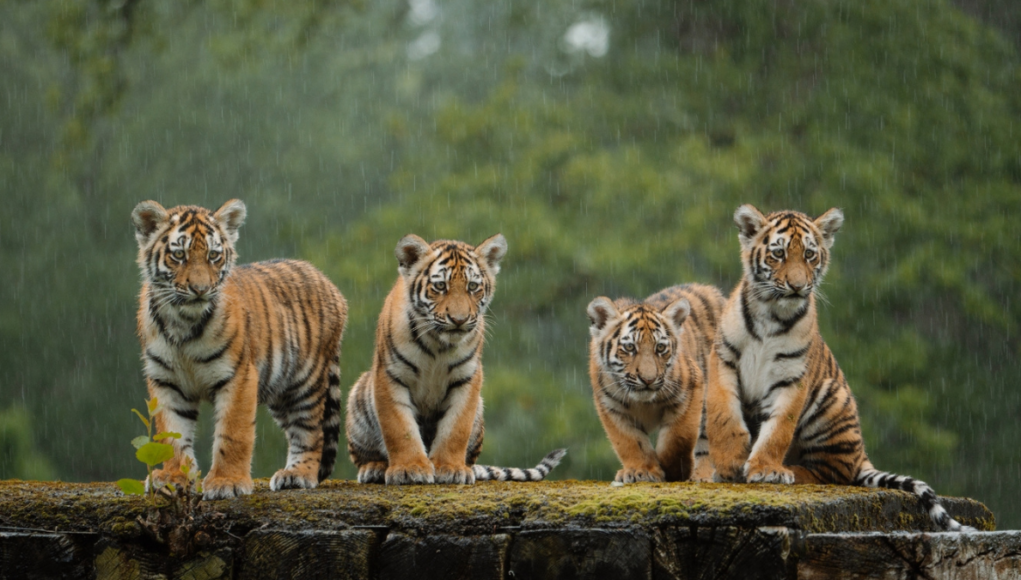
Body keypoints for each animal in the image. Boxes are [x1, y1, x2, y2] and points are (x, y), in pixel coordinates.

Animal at [131, 199, 348, 500]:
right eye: (179, 255)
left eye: (213, 255)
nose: (200, 289)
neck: (182, 322)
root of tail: (328, 283)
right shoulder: (165, 381)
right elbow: (171, 434)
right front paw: (173, 479)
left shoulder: (238, 376)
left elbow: (232, 433)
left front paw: (227, 482)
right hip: (280, 391)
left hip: (305, 383)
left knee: (310, 432)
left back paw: (298, 475)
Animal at [345, 234, 566, 485]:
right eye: (440, 286)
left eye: (473, 287)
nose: (459, 320)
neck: (437, 344)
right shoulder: (390, 374)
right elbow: (400, 428)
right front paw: (410, 469)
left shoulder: (468, 377)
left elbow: (456, 428)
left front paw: (450, 468)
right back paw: (374, 468)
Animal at [587, 284, 724, 484]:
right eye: (629, 347)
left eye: (660, 348)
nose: (648, 379)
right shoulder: (610, 406)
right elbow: (630, 441)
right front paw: (640, 471)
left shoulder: (691, 389)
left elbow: (677, 438)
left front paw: (676, 471)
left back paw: (704, 476)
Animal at [705, 204, 973, 531]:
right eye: (778, 254)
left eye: (809, 254)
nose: (797, 286)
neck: (771, 312)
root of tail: (862, 455)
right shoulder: (724, 361)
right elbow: (724, 417)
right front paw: (729, 466)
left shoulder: (793, 377)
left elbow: (778, 429)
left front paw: (766, 469)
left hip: (831, 400)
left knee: (833, 474)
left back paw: (791, 472)